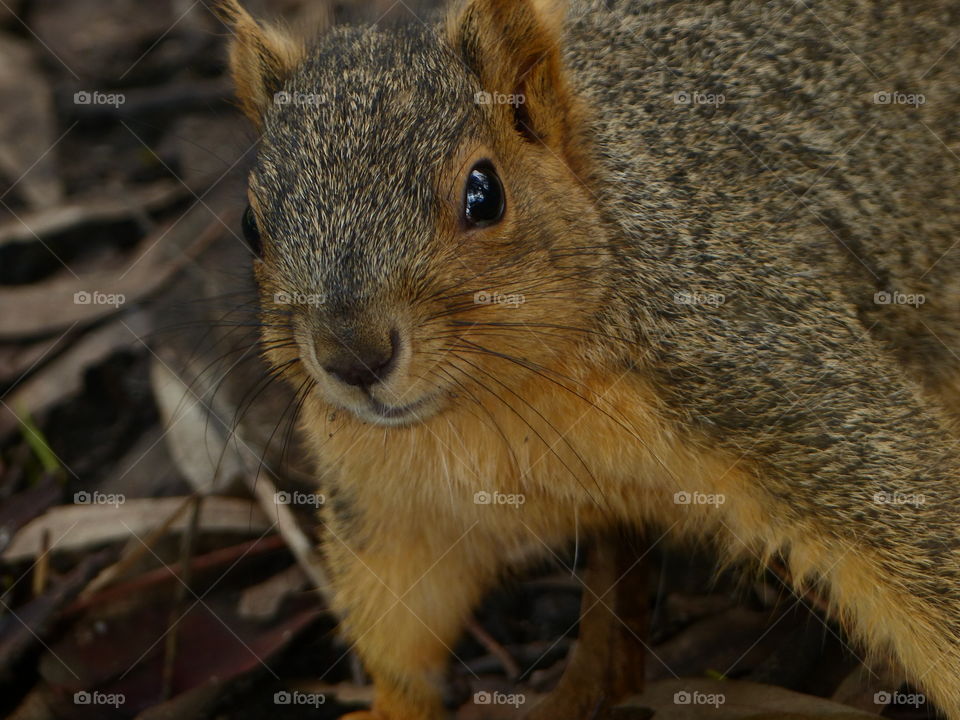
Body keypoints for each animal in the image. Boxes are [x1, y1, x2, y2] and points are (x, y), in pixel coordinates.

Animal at [212, 0, 960, 716]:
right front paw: (389, 709)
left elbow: (917, 528)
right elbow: (401, 615)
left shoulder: (761, 366)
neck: (507, 391)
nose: (353, 357)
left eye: (484, 193)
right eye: (251, 226)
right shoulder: (394, 495)